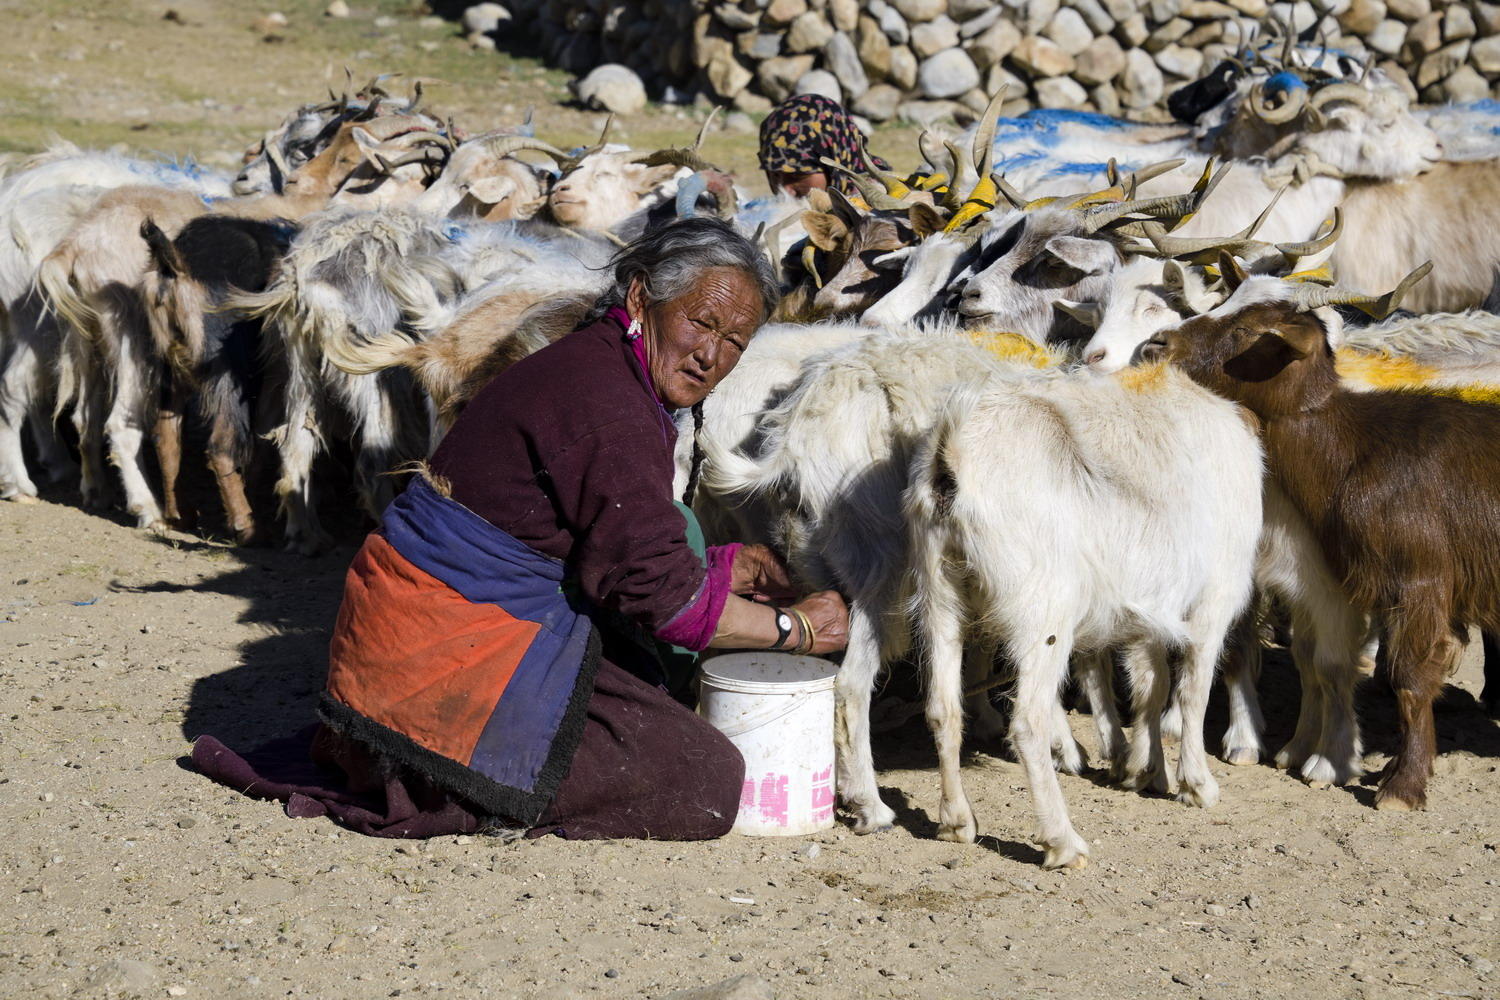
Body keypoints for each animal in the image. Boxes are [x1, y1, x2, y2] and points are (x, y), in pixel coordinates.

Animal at [1152, 283, 1500, 815]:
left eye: (1247, 330)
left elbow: (1410, 680)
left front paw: (1401, 786)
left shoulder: (1421, 579)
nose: (1160, 343)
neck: (1353, 450)